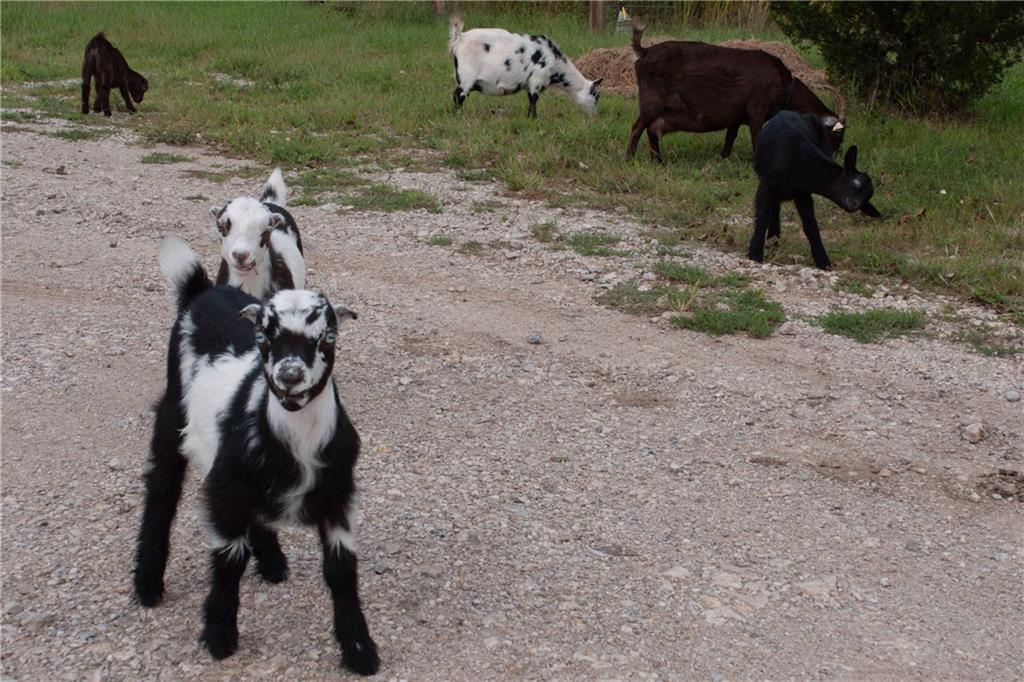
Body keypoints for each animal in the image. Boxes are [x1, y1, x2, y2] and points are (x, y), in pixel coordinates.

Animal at [132, 236, 379, 675]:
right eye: (263, 337)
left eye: (328, 338)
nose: (290, 377)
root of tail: (201, 291)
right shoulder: (224, 489)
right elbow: (229, 559)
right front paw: (219, 637)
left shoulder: (338, 495)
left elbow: (342, 569)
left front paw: (360, 649)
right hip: (172, 416)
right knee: (161, 491)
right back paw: (147, 584)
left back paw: (273, 562)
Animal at [449, 17, 602, 118]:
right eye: (596, 95)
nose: (594, 117)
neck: (554, 62)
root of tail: (460, 37)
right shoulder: (536, 81)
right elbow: (533, 101)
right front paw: (533, 118)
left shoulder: (530, 84)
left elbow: (530, 100)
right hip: (466, 76)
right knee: (458, 95)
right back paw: (458, 116)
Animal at [627, 21, 844, 162]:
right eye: (837, 134)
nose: (834, 157)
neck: (784, 85)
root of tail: (645, 51)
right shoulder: (757, 108)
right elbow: (756, 135)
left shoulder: (736, 116)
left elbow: (730, 137)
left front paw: (724, 158)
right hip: (652, 101)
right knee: (637, 127)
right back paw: (630, 158)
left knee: (652, 130)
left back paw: (658, 161)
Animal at [748, 110, 881, 270]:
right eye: (856, 183)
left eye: (867, 198)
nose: (855, 204)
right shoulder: (767, 186)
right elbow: (762, 216)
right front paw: (755, 253)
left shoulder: (802, 193)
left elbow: (810, 224)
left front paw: (823, 261)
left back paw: (774, 239)